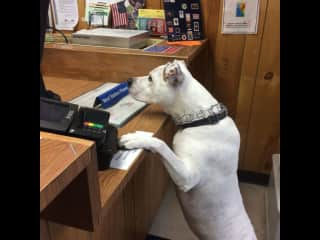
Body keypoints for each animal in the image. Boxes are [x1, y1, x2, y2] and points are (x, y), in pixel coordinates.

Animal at [120, 60, 258, 240]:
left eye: (150, 78)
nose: (128, 80)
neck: (204, 119)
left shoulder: (188, 178)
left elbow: (161, 144)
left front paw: (138, 139)